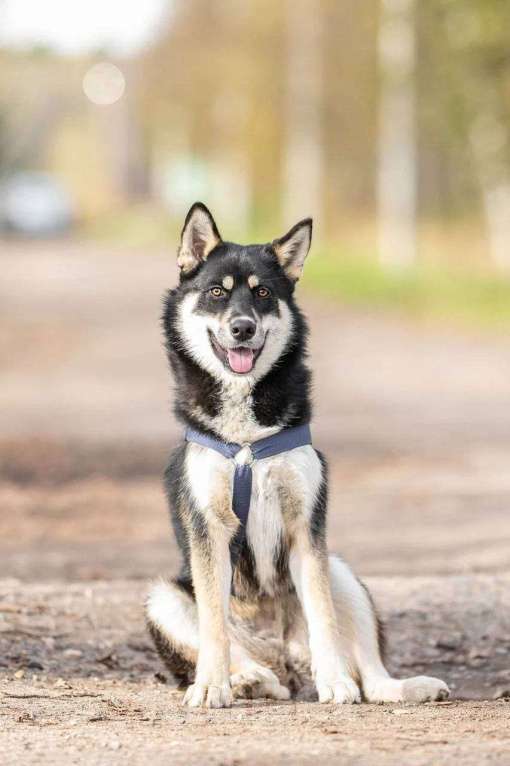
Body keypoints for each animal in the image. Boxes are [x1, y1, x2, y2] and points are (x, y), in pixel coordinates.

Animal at [145, 202, 448, 708]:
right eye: (216, 291)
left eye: (263, 293)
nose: (242, 328)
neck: (247, 440)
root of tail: (283, 657)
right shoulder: (209, 528)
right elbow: (213, 625)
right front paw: (211, 685)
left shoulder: (306, 527)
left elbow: (324, 619)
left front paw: (337, 685)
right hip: (162, 598)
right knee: (240, 653)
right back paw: (245, 679)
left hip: (341, 572)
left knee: (370, 671)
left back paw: (399, 686)